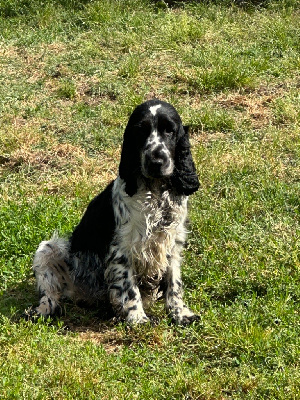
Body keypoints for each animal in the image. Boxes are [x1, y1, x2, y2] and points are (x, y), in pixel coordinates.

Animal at [25, 99, 199, 324]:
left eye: (169, 130)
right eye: (140, 131)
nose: (156, 162)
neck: (156, 192)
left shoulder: (173, 242)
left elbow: (174, 283)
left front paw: (181, 314)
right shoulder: (122, 248)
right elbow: (129, 285)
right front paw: (137, 317)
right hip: (49, 248)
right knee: (50, 294)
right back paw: (43, 310)